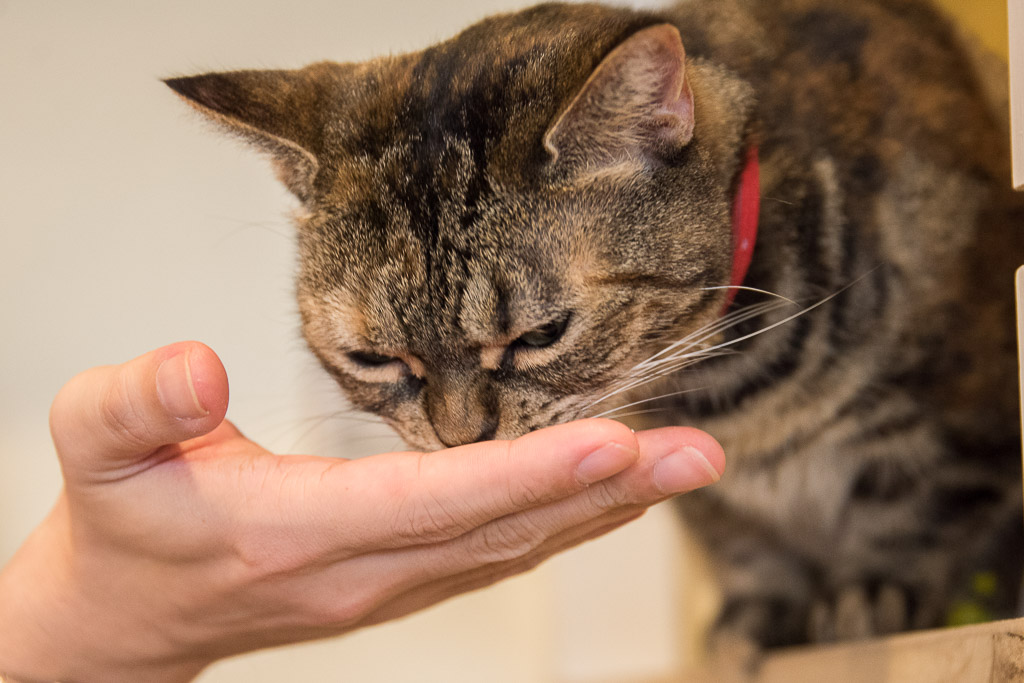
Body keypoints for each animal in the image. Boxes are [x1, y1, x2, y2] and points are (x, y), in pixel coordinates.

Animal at [167, 0, 1024, 651]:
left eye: (541, 335)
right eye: (375, 358)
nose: (460, 439)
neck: (726, 390)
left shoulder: (958, 406)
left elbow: (917, 505)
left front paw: (874, 592)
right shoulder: (717, 502)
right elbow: (744, 544)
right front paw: (756, 617)